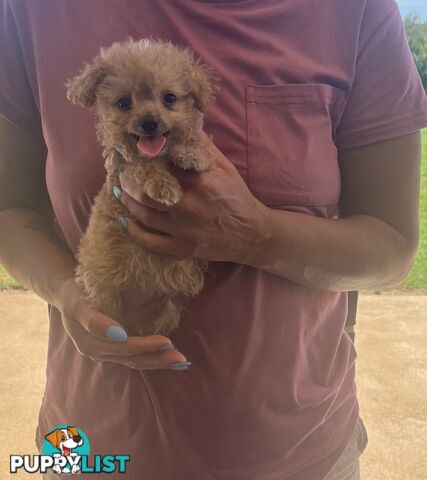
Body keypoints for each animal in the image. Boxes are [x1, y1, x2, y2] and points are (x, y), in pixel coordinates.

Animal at [67, 39, 221, 336]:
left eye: (170, 98)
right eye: (123, 102)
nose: (149, 122)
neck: (159, 156)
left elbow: (190, 143)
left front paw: (192, 156)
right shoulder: (121, 167)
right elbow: (140, 165)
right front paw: (164, 187)